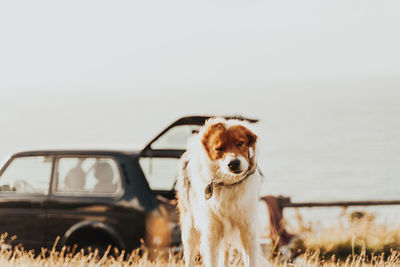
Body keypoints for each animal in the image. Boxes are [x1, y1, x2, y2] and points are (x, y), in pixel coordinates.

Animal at [177, 118, 266, 267]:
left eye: (240, 143)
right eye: (219, 148)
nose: (234, 163)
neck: (229, 185)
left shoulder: (248, 230)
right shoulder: (211, 232)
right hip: (189, 227)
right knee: (189, 255)